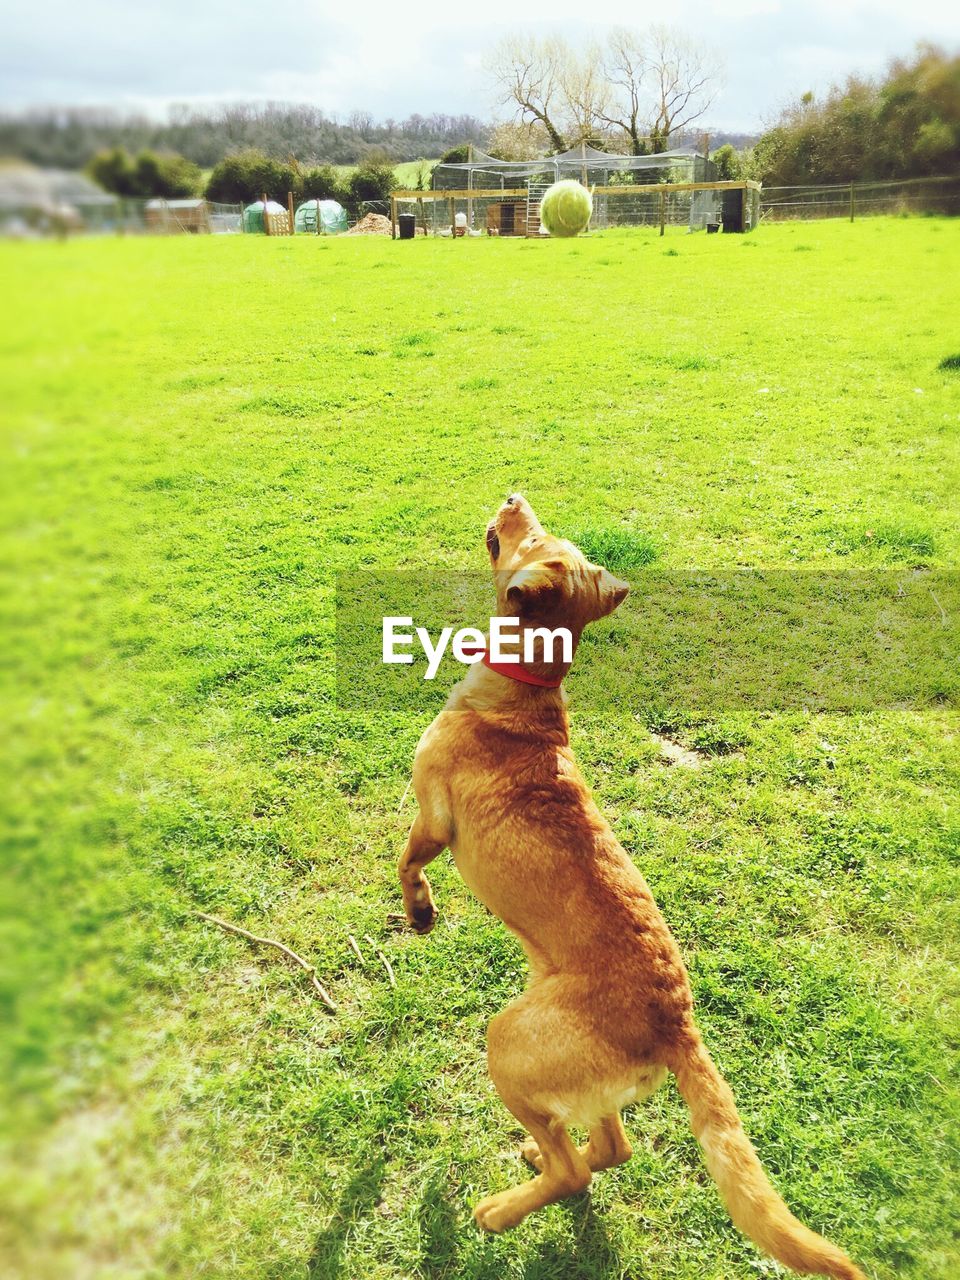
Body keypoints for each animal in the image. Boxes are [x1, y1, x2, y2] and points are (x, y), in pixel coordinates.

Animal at [399, 494, 870, 1280]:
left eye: (533, 537)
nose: (515, 497)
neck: (528, 689)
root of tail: (677, 1024)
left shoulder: (432, 817)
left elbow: (408, 860)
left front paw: (420, 913)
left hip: (509, 1042)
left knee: (574, 1170)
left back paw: (500, 1211)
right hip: (577, 1078)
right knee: (607, 1149)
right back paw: (542, 1163)